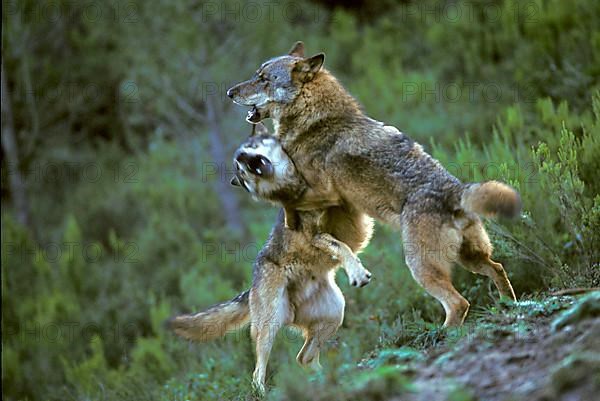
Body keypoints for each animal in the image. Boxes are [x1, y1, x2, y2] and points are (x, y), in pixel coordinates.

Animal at [171, 127, 372, 390]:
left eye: (251, 146)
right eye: (240, 167)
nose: (244, 158)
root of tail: (251, 287)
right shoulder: (317, 236)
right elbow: (342, 247)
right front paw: (357, 272)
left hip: (335, 314)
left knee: (304, 358)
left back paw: (330, 379)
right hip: (269, 327)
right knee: (258, 372)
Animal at [227, 41, 524, 328]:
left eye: (263, 79)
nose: (230, 92)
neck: (314, 121)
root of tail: (456, 191)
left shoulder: (323, 192)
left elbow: (287, 202)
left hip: (421, 268)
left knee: (458, 303)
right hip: (470, 259)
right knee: (497, 268)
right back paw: (511, 307)